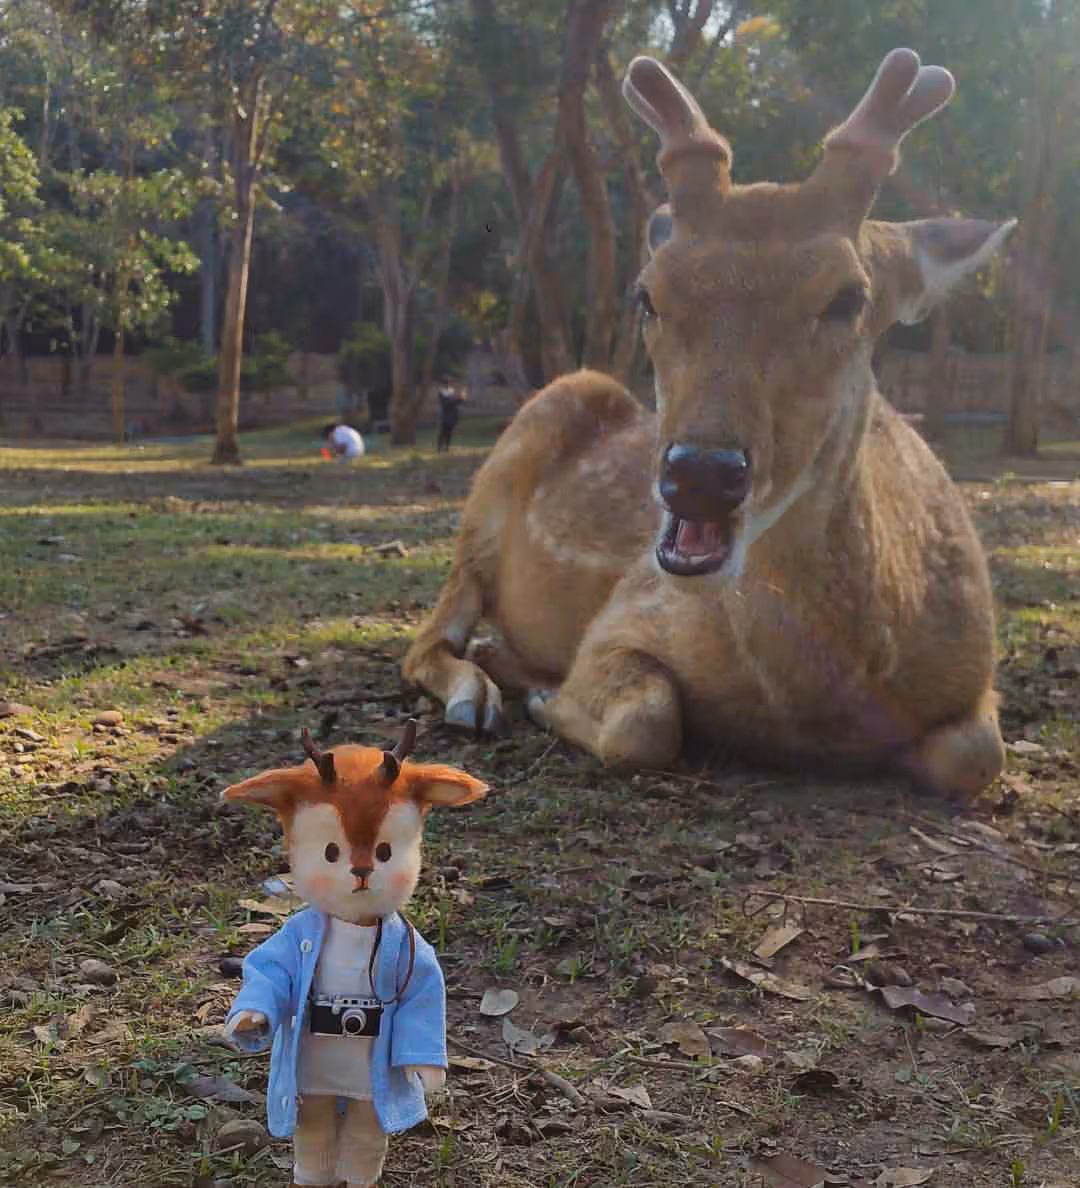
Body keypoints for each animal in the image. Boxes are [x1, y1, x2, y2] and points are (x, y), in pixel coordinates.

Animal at [402, 49, 1015, 802]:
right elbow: (646, 720)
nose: (699, 473)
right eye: (648, 294)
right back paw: (479, 693)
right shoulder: (623, 617)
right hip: (513, 459)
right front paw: (548, 699)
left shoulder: (978, 683)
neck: (816, 708)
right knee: (429, 632)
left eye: (849, 297)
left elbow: (976, 755)